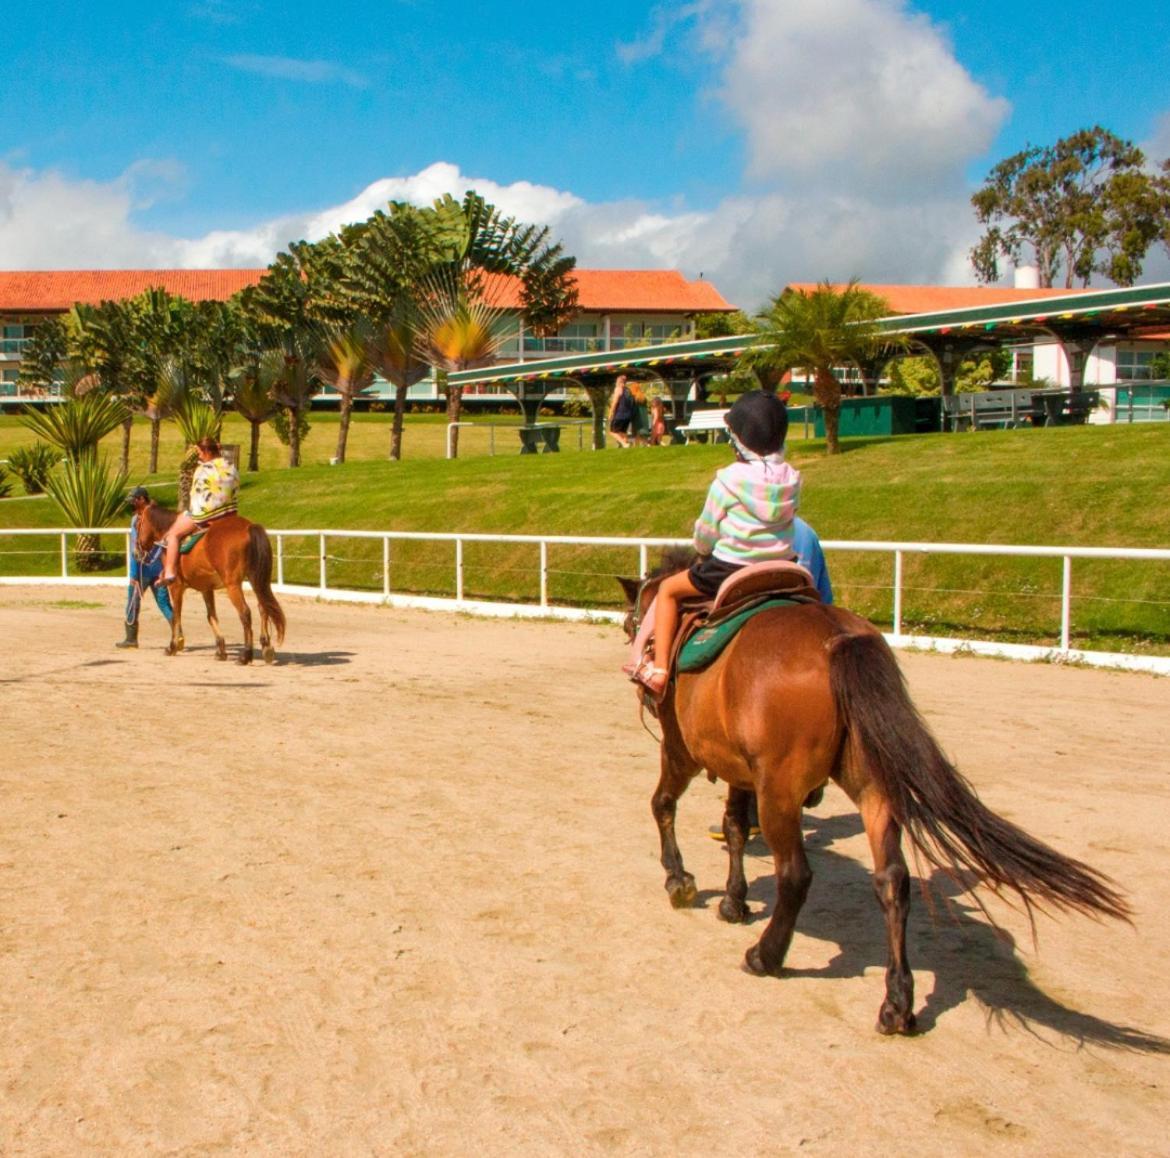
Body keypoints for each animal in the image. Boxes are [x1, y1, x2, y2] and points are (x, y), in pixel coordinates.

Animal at [138, 502, 286, 664]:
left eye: (138, 522)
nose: (137, 548)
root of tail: (248, 527)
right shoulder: (206, 588)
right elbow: (211, 616)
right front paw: (220, 650)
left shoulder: (175, 586)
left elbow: (175, 615)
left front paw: (172, 646)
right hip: (256, 580)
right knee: (263, 607)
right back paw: (266, 647)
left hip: (233, 585)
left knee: (245, 613)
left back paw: (246, 655)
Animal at [617, 556, 1127, 1038]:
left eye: (631, 623)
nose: (638, 654)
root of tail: (837, 638)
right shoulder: (740, 769)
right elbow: (736, 828)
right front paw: (733, 902)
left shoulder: (684, 750)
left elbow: (665, 805)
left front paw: (679, 881)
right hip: (873, 788)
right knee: (893, 880)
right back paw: (898, 1005)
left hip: (780, 789)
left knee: (796, 874)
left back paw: (766, 956)